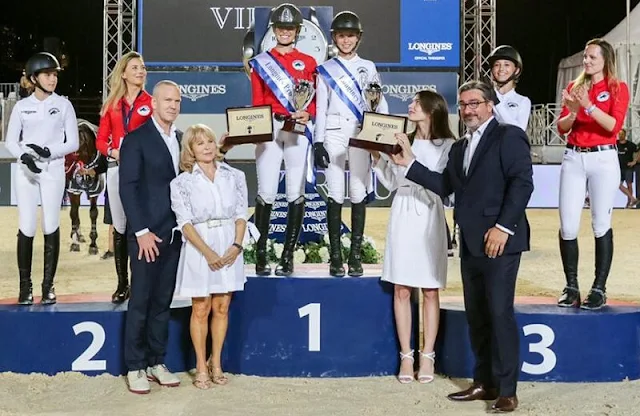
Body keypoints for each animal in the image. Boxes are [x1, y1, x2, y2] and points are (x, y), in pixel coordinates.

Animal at [64, 119, 107, 254]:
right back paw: (78, 235)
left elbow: (93, 213)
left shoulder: (95, 191)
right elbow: (73, 213)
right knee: (74, 211)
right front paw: (74, 243)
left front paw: (93, 245)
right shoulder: (73, 190)